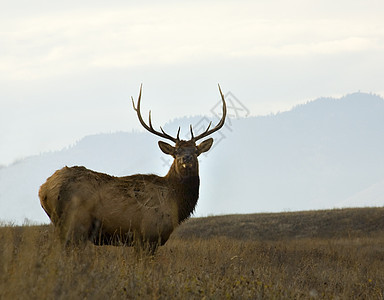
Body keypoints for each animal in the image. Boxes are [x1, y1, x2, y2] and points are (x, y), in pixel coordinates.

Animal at [38, 84, 226, 253]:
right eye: (176, 152)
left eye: (195, 151)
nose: (186, 159)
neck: (176, 203)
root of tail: (43, 190)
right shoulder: (148, 234)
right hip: (76, 223)